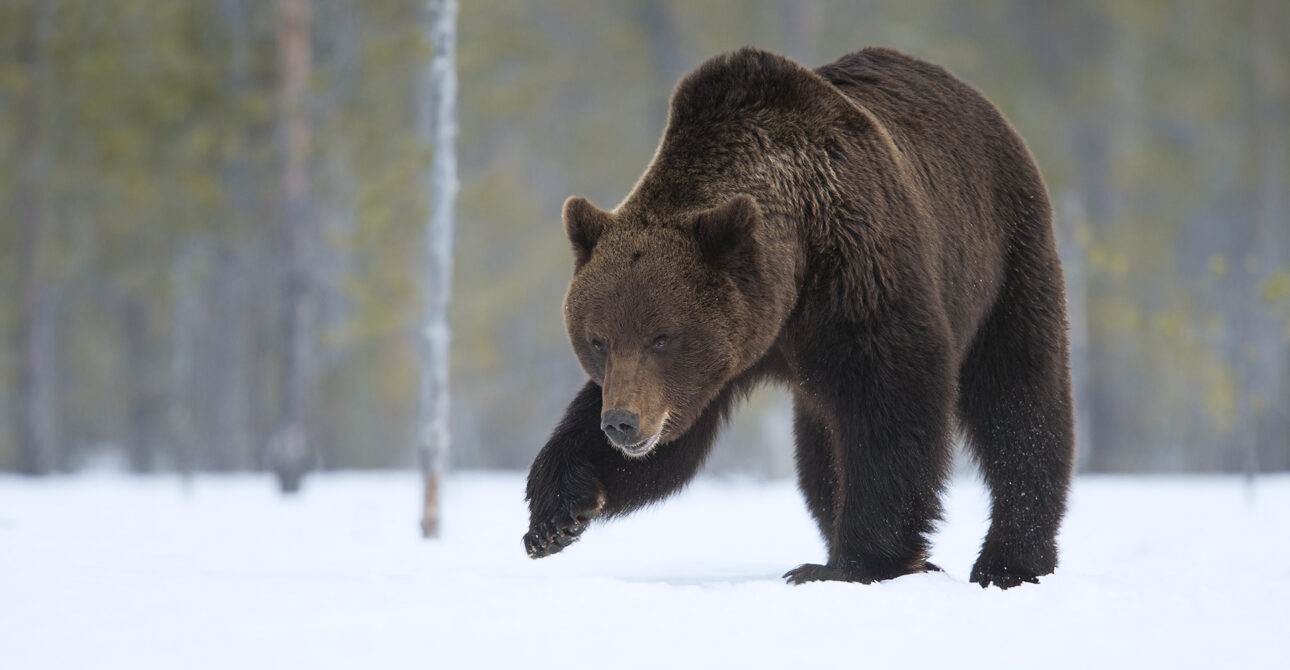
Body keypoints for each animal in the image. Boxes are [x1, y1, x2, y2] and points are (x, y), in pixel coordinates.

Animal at [523, 46, 1074, 589]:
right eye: (598, 340)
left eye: (662, 337)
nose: (622, 422)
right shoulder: (730, 351)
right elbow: (671, 445)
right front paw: (555, 514)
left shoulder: (857, 280)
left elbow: (892, 404)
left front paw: (857, 562)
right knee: (819, 455)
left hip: (1003, 255)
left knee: (1020, 399)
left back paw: (1009, 561)